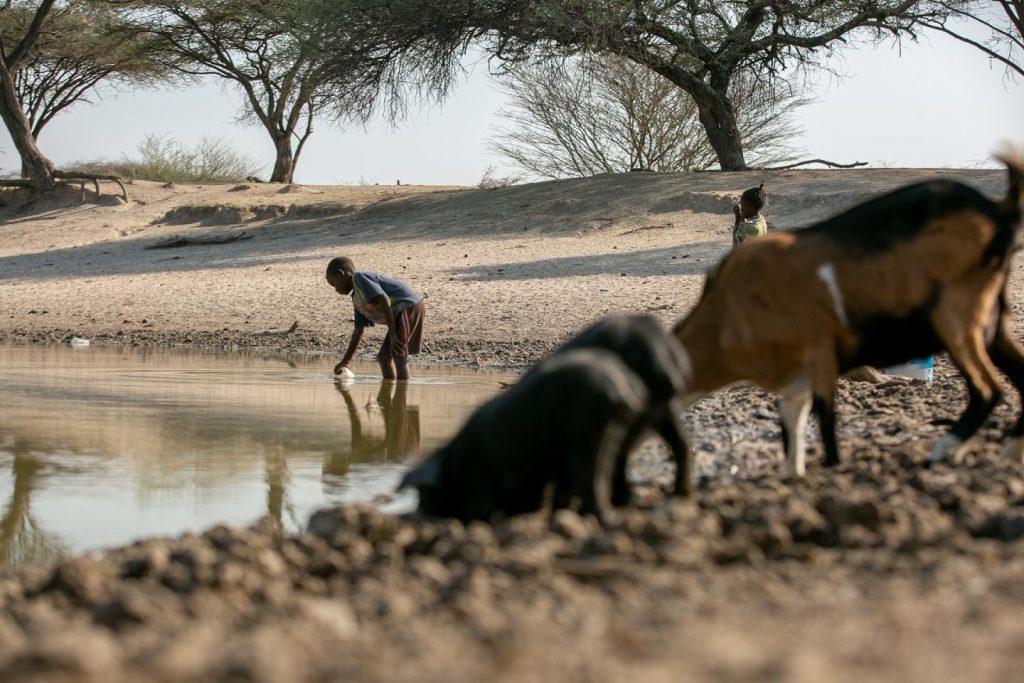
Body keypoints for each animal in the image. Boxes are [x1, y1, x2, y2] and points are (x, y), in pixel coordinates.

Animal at [671, 150, 1024, 479]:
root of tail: (994, 209)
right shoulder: (795, 379)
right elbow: (792, 425)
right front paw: (792, 474)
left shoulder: (820, 354)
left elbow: (826, 421)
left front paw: (831, 470)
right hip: (991, 320)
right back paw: (1007, 451)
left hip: (955, 317)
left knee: (987, 389)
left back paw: (943, 450)